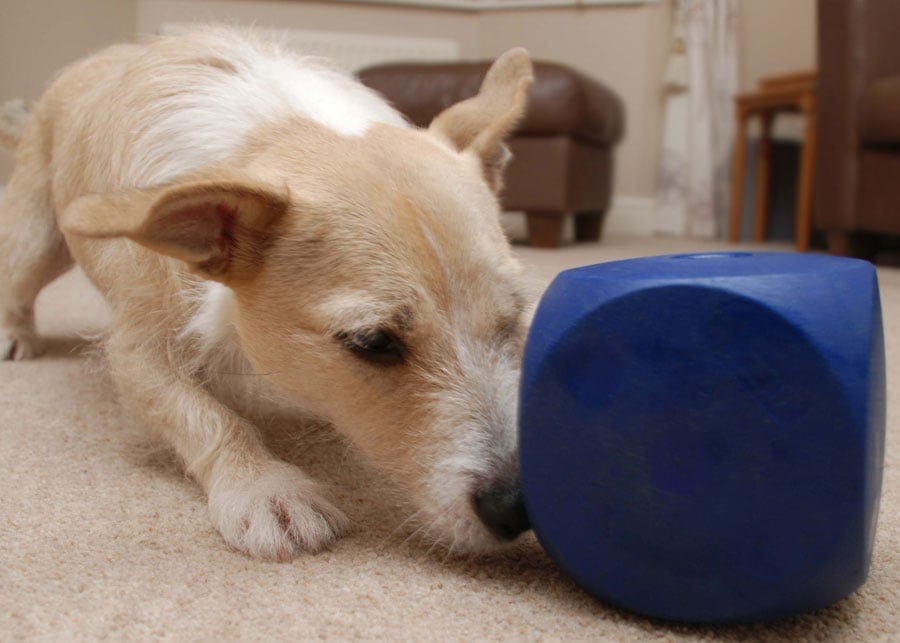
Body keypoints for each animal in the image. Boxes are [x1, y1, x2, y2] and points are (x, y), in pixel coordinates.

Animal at [0, 28, 536, 564]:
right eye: (373, 343)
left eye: (515, 318)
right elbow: (207, 416)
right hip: (35, 240)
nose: (517, 507)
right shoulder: (138, 354)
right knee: (16, 278)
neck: (277, 131)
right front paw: (263, 488)